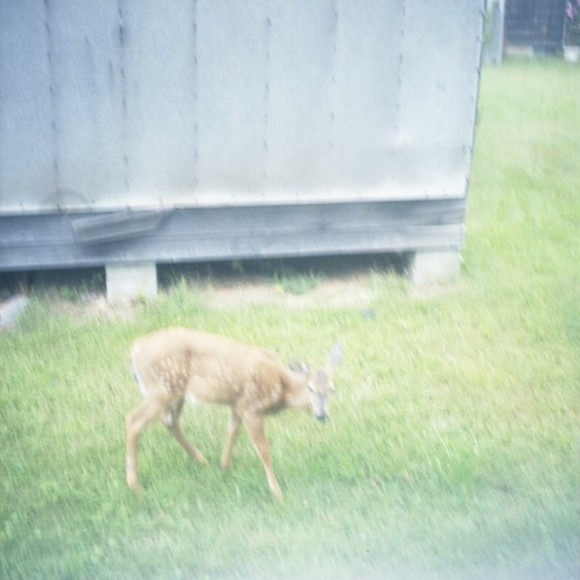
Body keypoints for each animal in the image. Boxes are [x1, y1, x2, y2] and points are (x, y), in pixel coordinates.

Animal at [126, 327, 342, 500]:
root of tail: (134, 350)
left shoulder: (237, 404)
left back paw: (202, 460)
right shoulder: (251, 406)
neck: (281, 387)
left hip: (175, 391)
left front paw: (224, 465)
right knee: (133, 421)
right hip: (161, 387)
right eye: (310, 388)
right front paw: (277, 492)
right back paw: (134, 485)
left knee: (169, 420)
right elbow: (263, 450)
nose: (322, 415)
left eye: (332, 389)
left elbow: (232, 431)